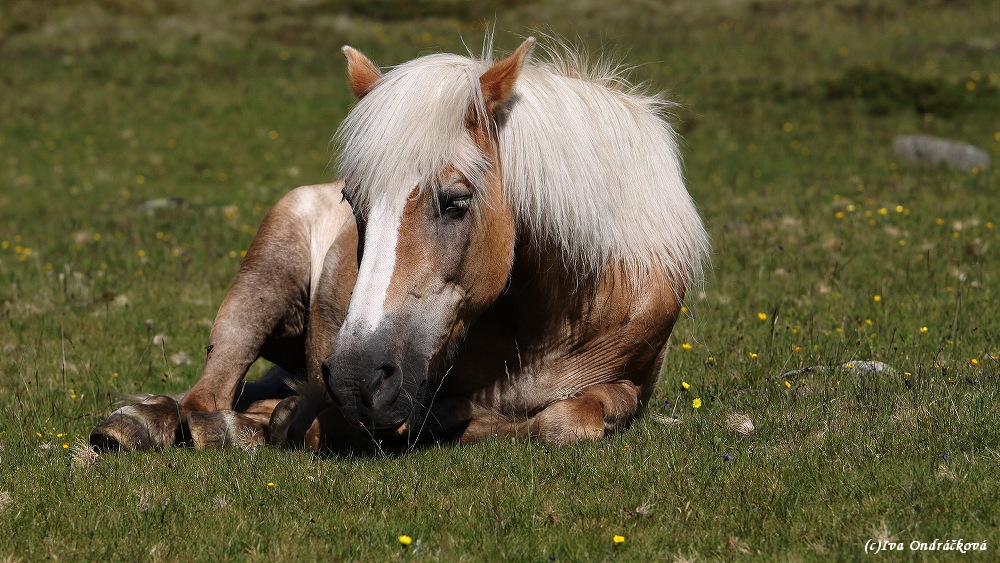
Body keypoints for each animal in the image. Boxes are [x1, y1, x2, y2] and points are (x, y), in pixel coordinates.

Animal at [90, 37, 708, 454]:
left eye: (455, 201)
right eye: (354, 202)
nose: (355, 379)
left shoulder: (633, 385)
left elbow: (566, 420)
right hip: (262, 281)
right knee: (207, 400)